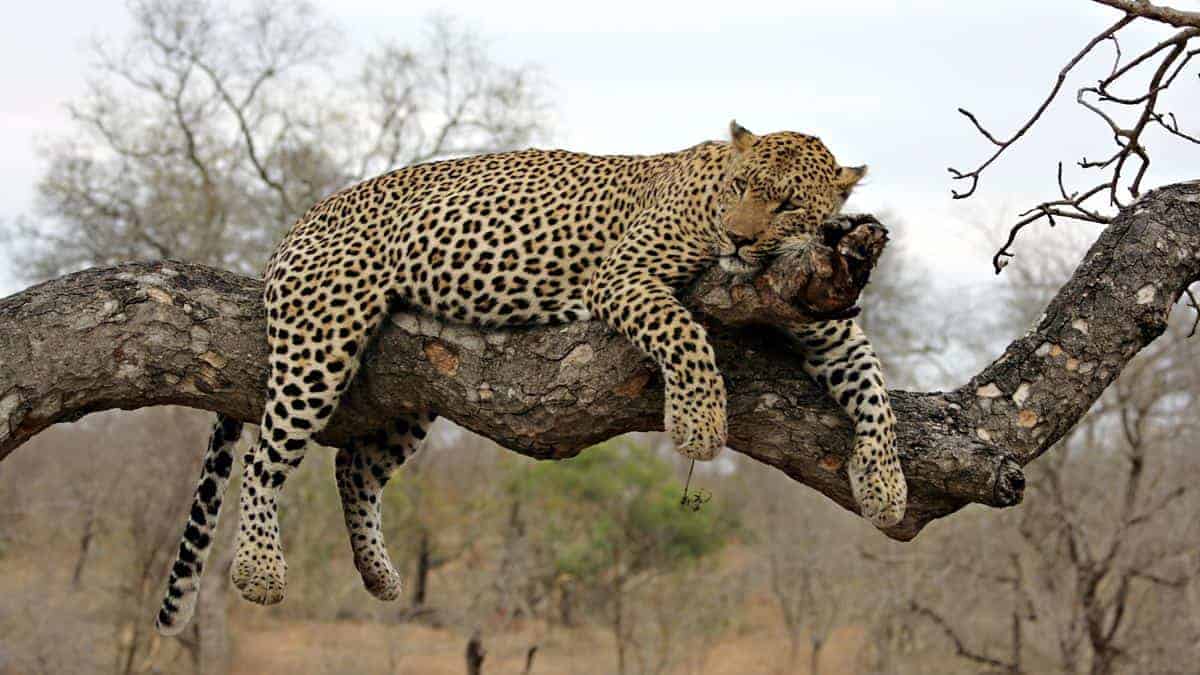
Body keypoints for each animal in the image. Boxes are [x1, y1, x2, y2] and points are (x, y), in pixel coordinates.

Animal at [157, 121, 907, 634]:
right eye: (742, 188)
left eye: (788, 206)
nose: (739, 239)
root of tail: (296, 224)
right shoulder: (625, 274)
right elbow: (686, 333)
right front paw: (698, 423)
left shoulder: (822, 312)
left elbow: (875, 392)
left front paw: (887, 489)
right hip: (323, 335)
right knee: (264, 456)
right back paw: (259, 569)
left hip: (415, 385)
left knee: (352, 468)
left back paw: (379, 576)